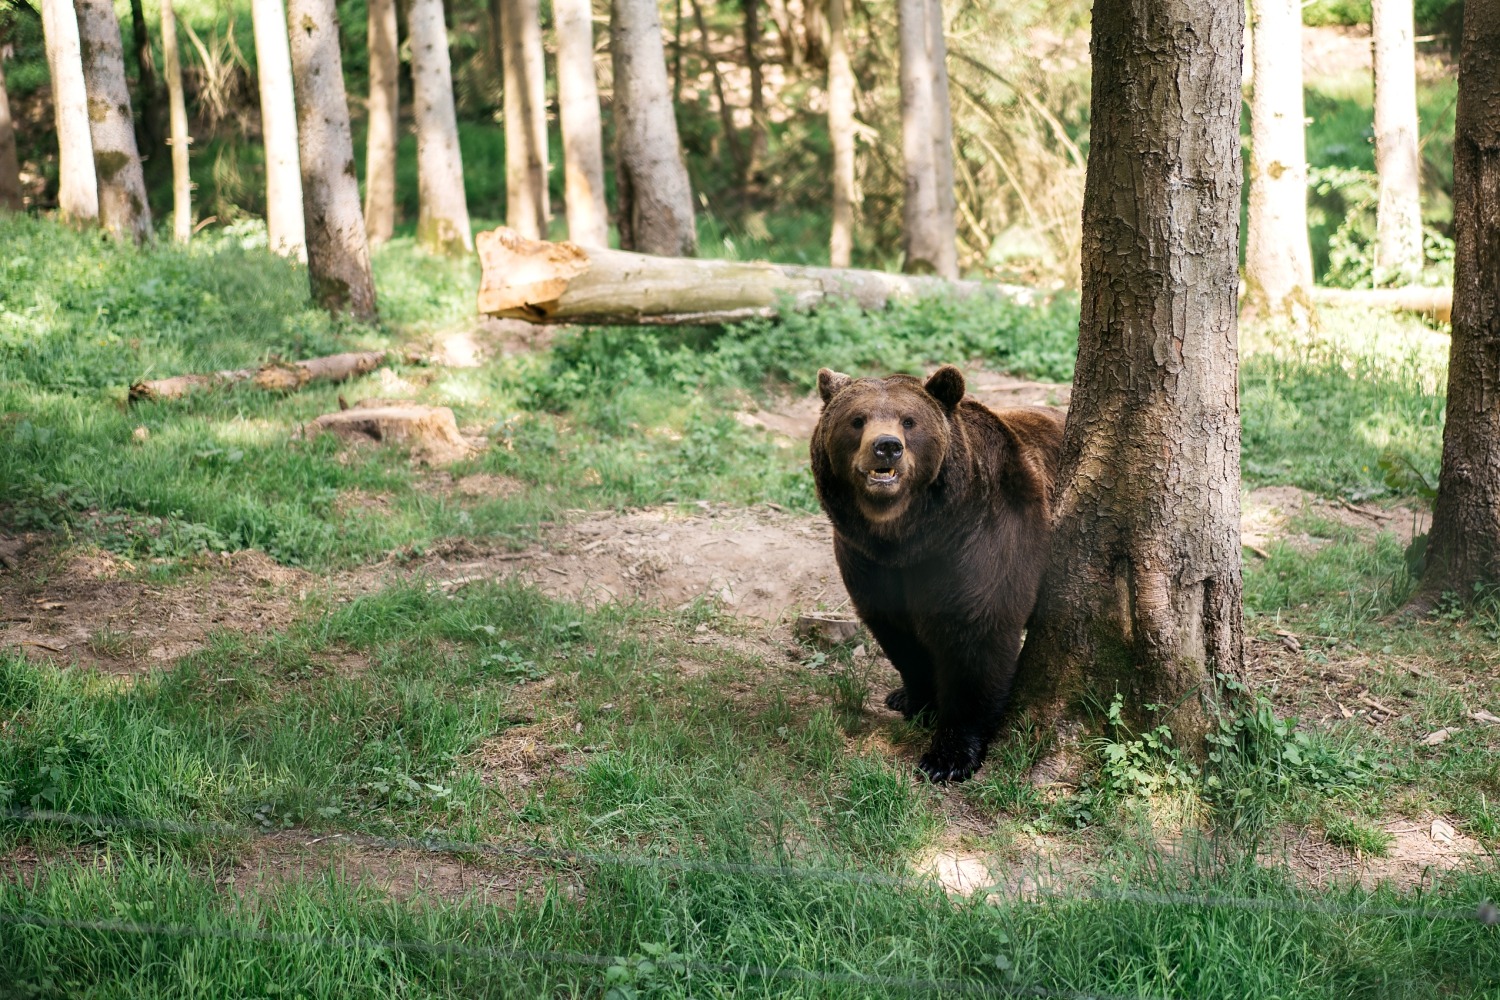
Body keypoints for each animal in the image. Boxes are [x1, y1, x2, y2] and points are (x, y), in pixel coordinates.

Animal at [810, 365, 1068, 779]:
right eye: (857, 419)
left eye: (909, 420)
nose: (887, 446)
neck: (909, 536)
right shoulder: (868, 561)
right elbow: (898, 633)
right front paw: (916, 700)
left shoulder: (981, 541)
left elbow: (976, 636)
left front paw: (948, 756)